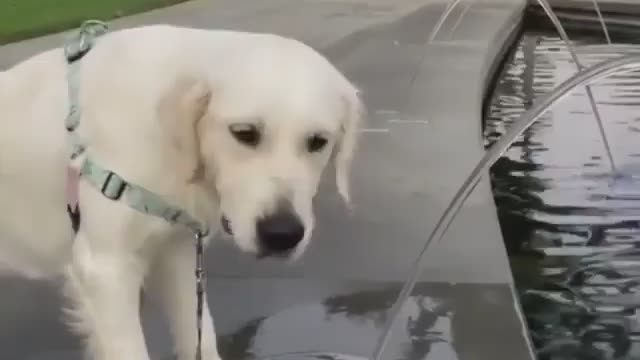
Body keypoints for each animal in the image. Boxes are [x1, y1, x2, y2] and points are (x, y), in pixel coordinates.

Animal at [0, 24, 362, 360]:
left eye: (318, 141)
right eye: (244, 133)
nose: (282, 234)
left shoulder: (177, 253)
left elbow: (201, 337)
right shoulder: (105, 269)